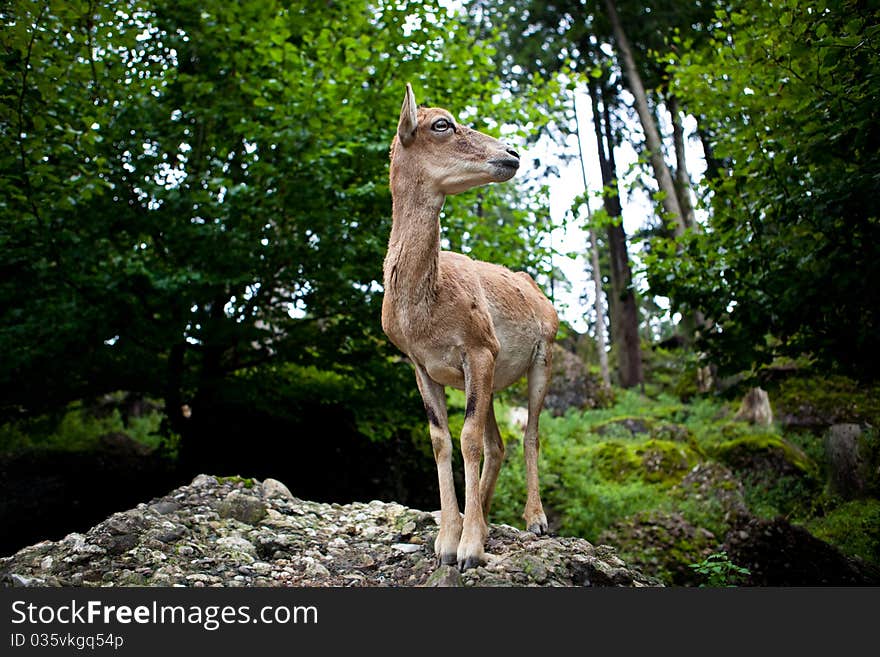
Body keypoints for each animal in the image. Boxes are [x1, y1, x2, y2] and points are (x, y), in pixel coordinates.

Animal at [378, 83, 556, 568]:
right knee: (500, 443)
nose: (512, 154)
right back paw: (490, 517)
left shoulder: (478, 347)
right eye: (442, 123)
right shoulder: (421, 365)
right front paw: (446, 540)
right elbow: (441, 439)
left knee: (530, 433)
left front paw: (470, 548)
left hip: (542, 358)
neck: (425, 313)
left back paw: (536, 520)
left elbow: (468, 438)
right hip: (495, 379)